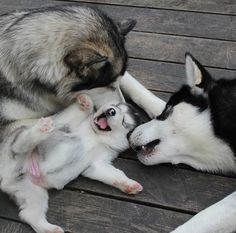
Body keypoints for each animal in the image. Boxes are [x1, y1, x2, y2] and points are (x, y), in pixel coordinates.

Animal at [0, 5, 164, 135]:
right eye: (107, 86)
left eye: (114, 84)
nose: (126, 109)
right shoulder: (10, 126)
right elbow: (55, 118)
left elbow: (132, 84)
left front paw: (160, 107)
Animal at [0, 94, 142, 233]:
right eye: (115, 105)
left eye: (124, 121)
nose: (111, 111)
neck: (96, 137)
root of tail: (5, 176)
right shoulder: (66, 123)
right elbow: (77, 113)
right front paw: (86, 102)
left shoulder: (97, 164)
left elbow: (116, 174)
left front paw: (129, 185)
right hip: (16, 146)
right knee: (22, 143)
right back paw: (41, 129)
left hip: (32, 191)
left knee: (29, 214)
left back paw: (50, 229)